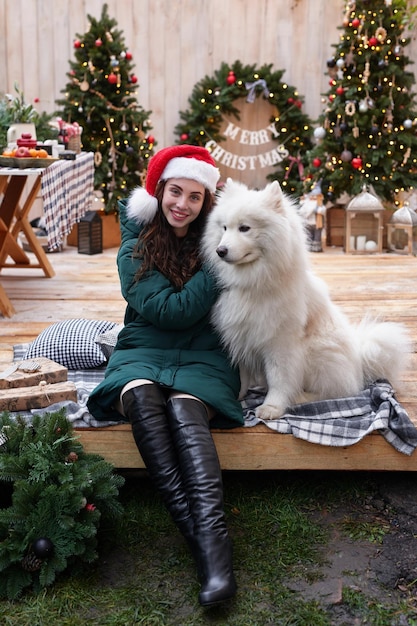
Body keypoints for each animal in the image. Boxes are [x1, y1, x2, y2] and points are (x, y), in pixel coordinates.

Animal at [202, 177, 410, 420]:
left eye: (245, 228)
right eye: (224, 228)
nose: (220, 250)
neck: (253, 282)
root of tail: (359, 358)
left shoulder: (280, 342)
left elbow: (279, 378)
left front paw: (272, 407)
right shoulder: (241, 334)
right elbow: (242, 376)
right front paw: (237, 397)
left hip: (316, 352)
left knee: (336, 391)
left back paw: (300, 398)